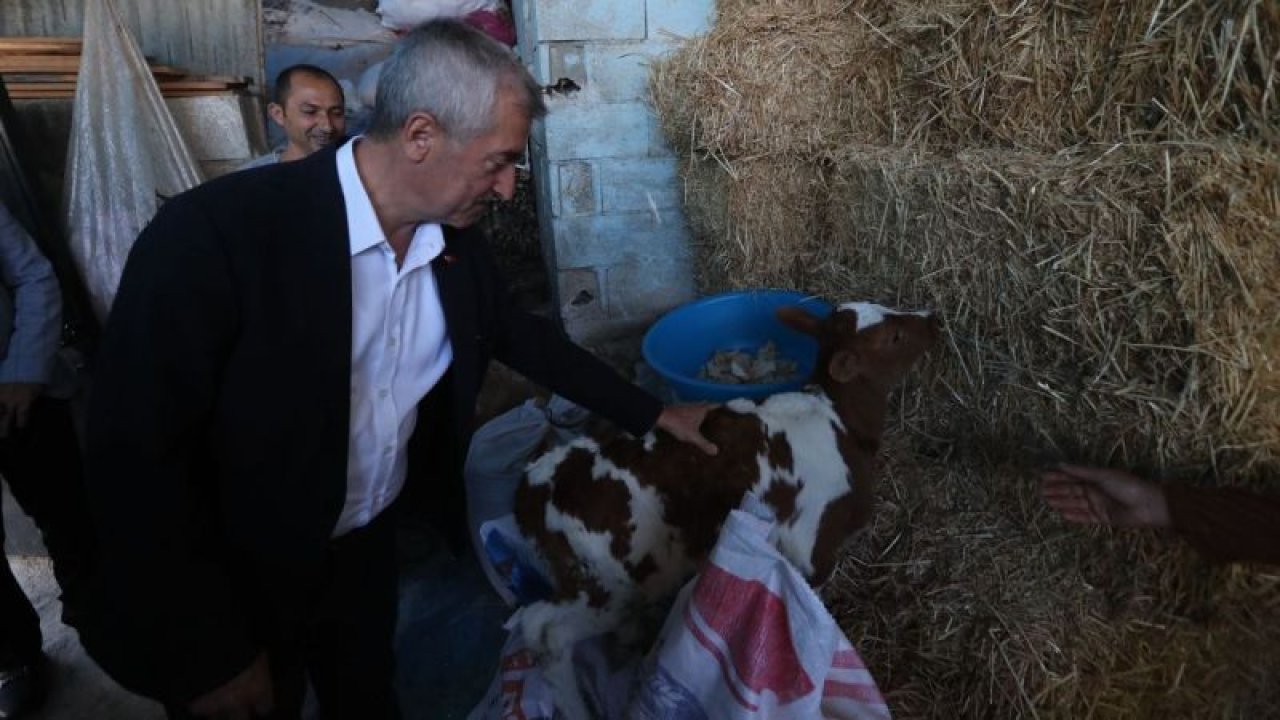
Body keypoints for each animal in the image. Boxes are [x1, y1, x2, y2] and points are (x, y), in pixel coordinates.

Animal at [509, 299, 942, 712]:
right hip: (611, 584)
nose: (934, 318)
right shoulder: (814, 548)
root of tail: (533, 487)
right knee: (546, 631)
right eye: (895, 337)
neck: (840, 420)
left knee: (538, 624)